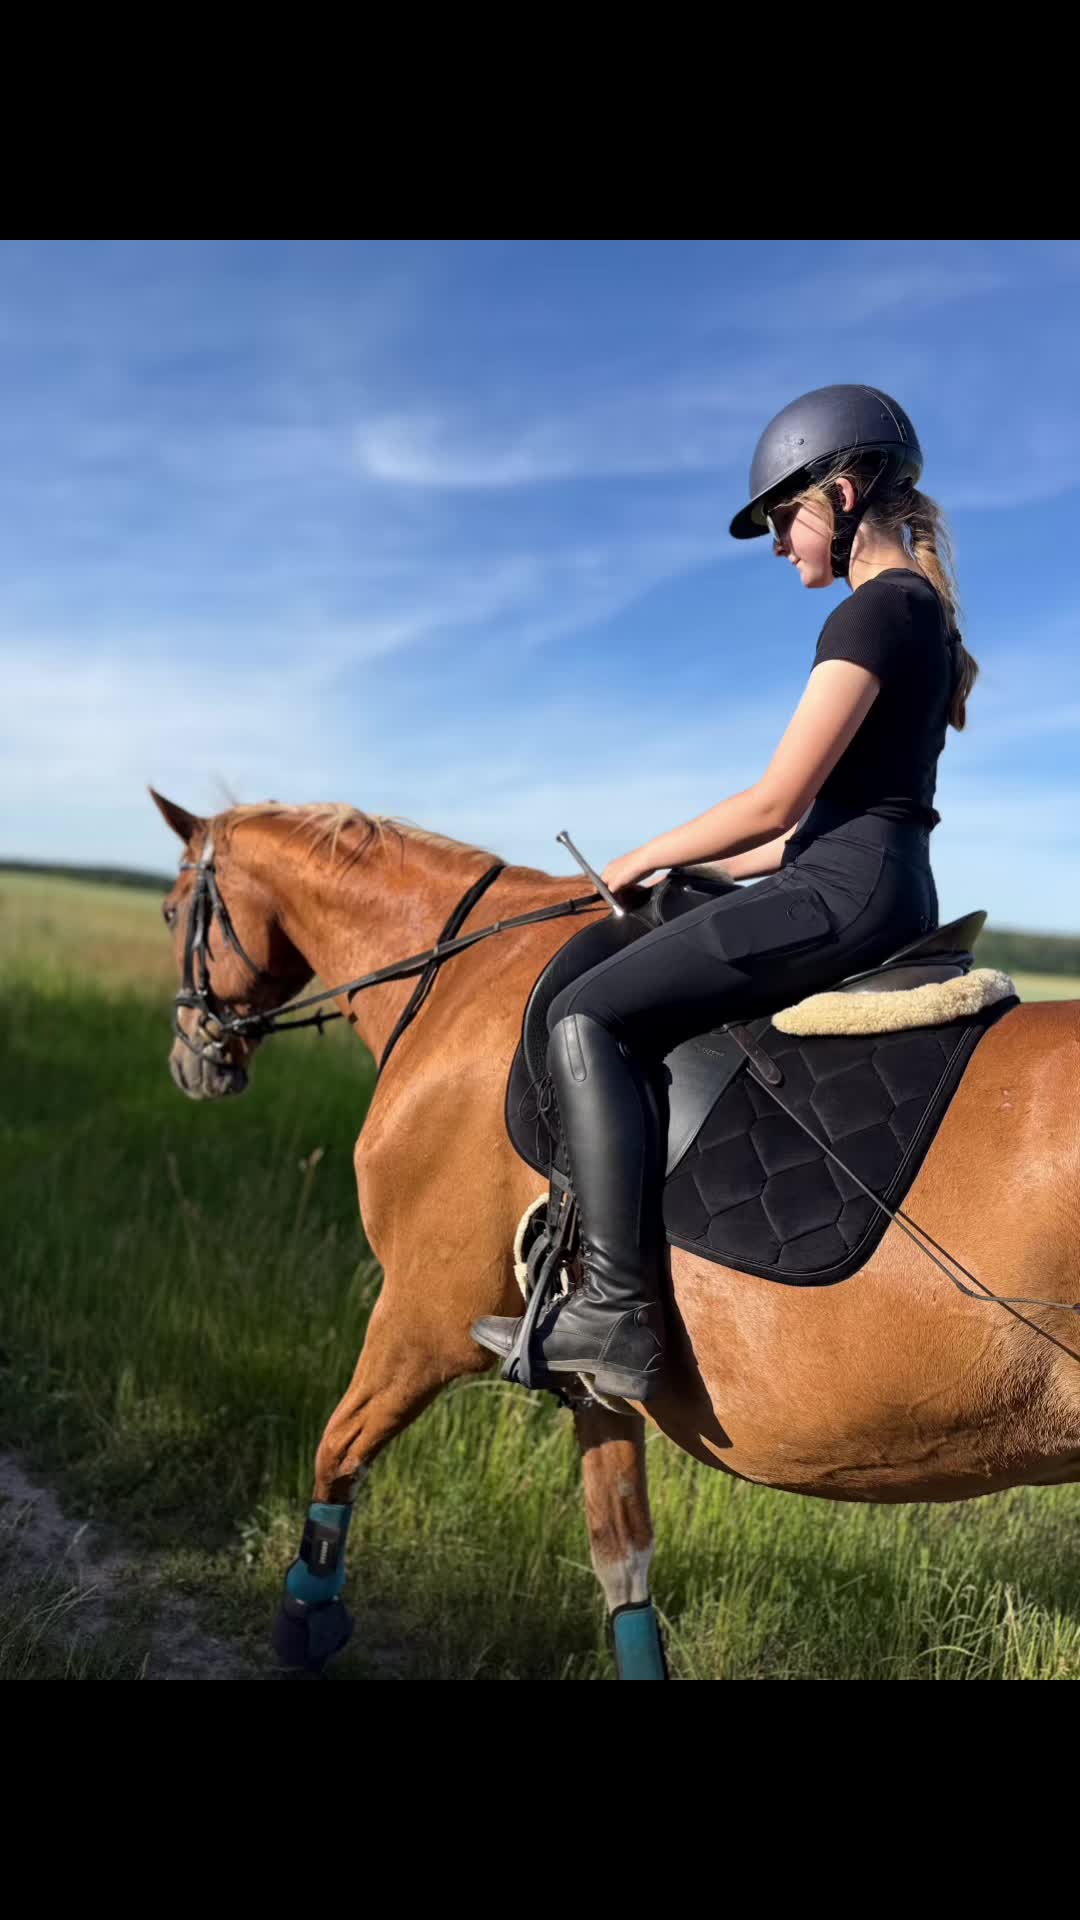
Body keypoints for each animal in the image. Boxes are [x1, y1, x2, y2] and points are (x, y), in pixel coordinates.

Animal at [150, 789, 1080, 1679]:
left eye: (169, 911)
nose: (191, 1059)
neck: (461, 979)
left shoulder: (421, 1314)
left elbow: (337, 1450)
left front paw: (305, 1616)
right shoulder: (592, 1379)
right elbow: (622, 1563)